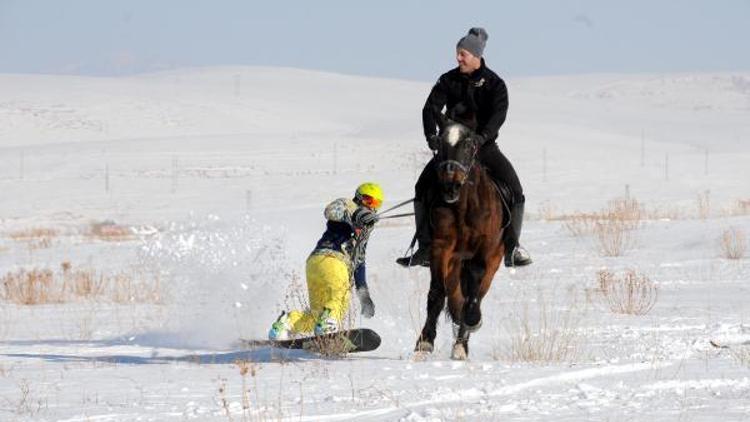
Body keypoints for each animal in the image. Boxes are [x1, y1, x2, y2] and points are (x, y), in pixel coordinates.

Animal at [414, 121, 508, 360]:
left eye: (469, 144)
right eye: (439, 143)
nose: (450, 185)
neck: (464, 205)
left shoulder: (484, 249)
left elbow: (473, 291)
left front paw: (471, 322)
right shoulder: (441, 248)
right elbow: (437, 293)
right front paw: (425, 341)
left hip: (493, 262)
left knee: (477, 294)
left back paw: (461, 345)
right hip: (454, 265)